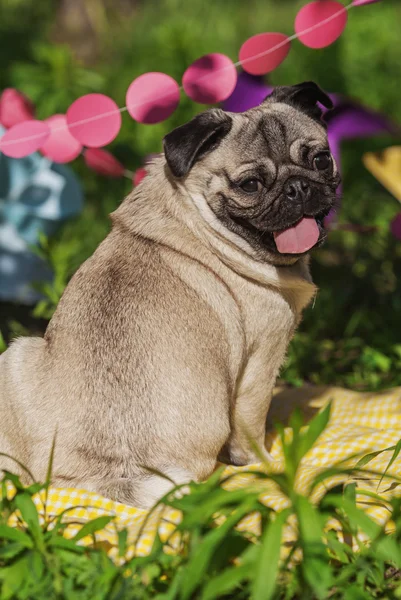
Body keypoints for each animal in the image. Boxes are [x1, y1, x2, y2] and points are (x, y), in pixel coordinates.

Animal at [0, 82, 340, 508]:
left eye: (322, 160)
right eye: (250, 184)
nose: (298, 187)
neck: (197, 215)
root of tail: (111, 469)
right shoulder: (264, 357)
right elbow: (250, 429)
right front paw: (265, 463)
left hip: (14, 358)